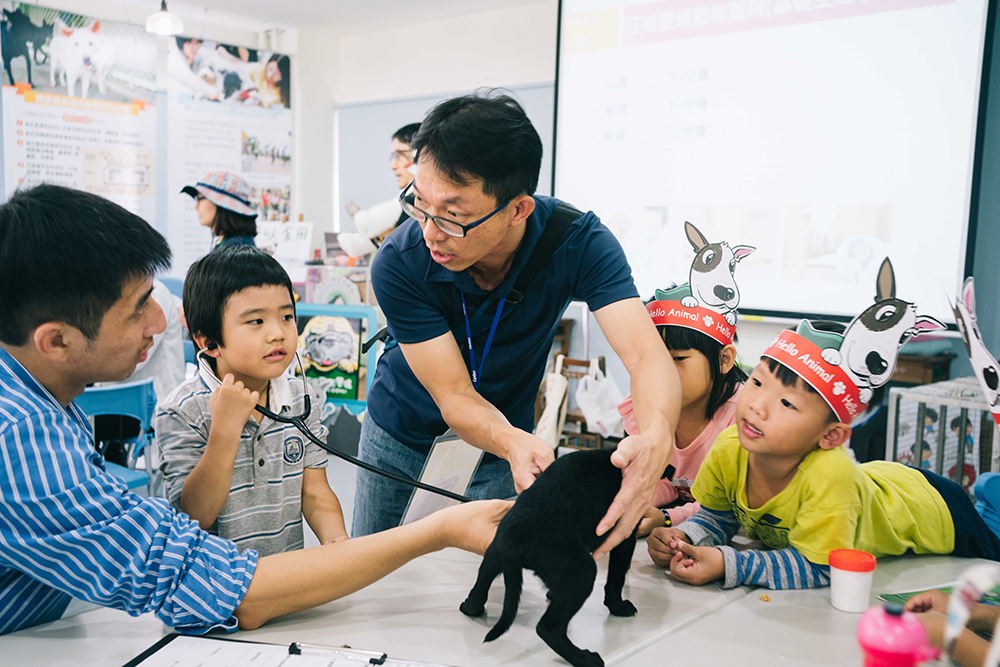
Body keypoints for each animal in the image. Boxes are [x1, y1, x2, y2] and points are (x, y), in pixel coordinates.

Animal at [458, 448, 636, 667]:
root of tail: (510, 539)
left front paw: (551, 593)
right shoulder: (625, 535)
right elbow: (616, 580)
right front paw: (619, 607)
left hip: (493, 555)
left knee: (481, 584)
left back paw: (470, 606)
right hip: (582, 571)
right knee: (548, 628)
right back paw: (584, 658)